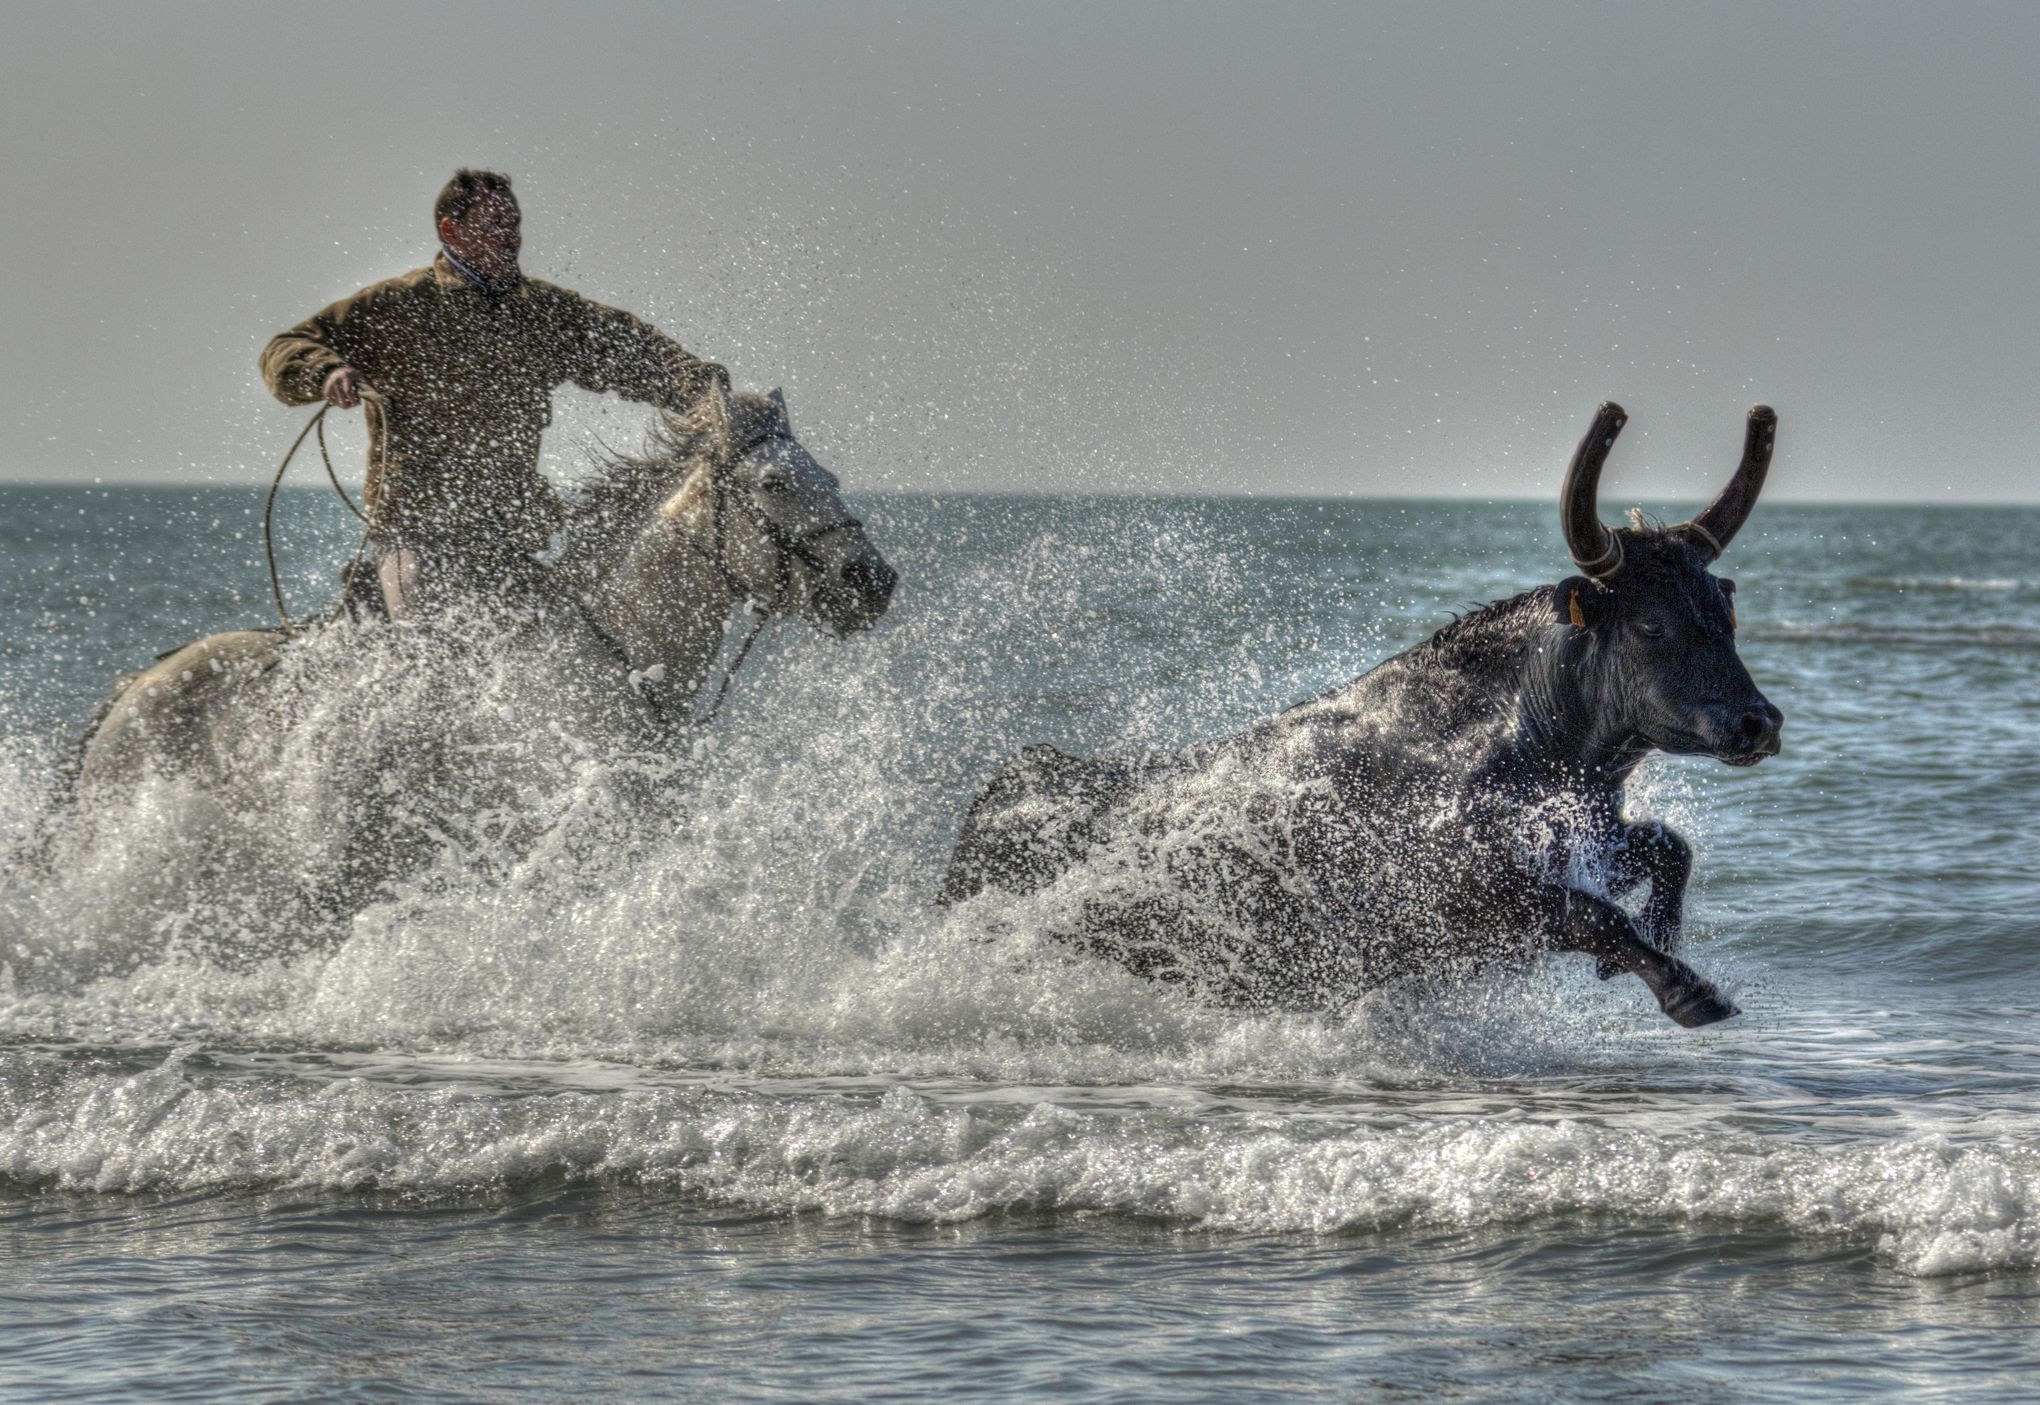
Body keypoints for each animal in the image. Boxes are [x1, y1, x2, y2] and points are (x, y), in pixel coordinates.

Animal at [942, 399, 1787, 1023]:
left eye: (1723, 610)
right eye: (1651, 623)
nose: (1760, 721)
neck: (1518, 743)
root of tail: (1002, 792)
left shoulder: (1592, 843)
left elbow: (1670, 848)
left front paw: (1665, 935)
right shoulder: (1472, 902)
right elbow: (1598, 917)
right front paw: (1689, 988)